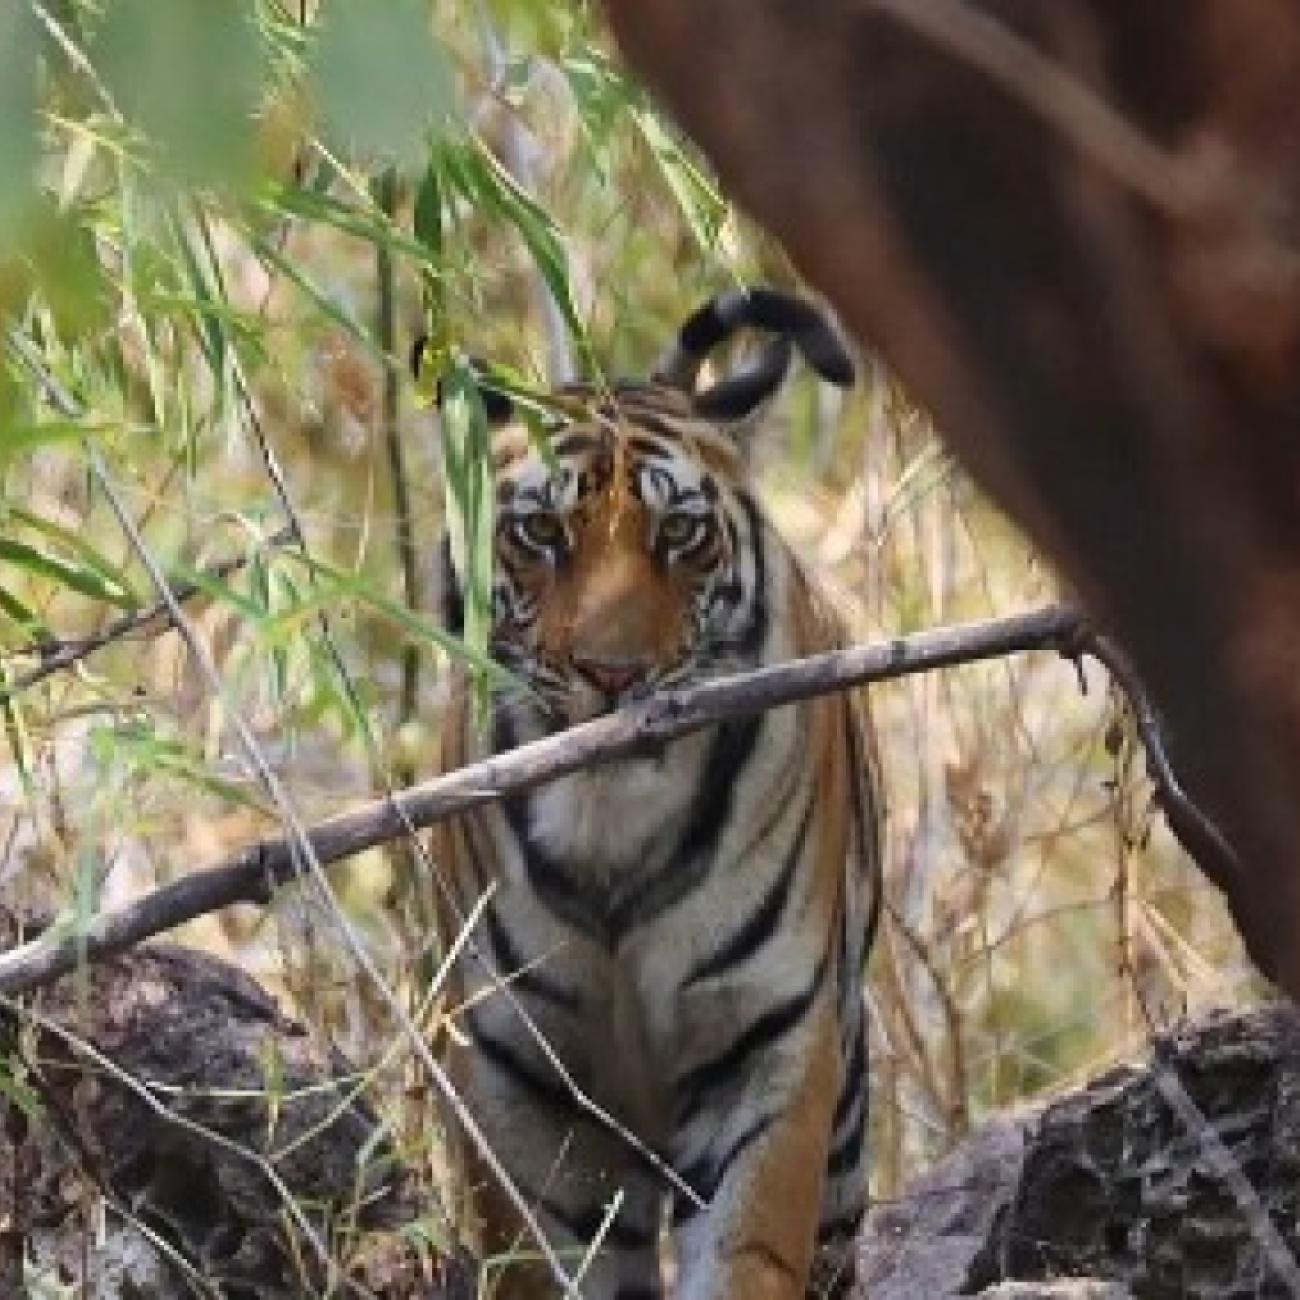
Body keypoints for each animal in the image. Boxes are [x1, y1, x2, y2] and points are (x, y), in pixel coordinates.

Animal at [428, 288, 882, 1300]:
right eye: (540, 532)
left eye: (679, 534)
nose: (613, 674)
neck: (610, 828)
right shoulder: (517, 1073)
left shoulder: (768, 1044)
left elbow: (747, 1253)